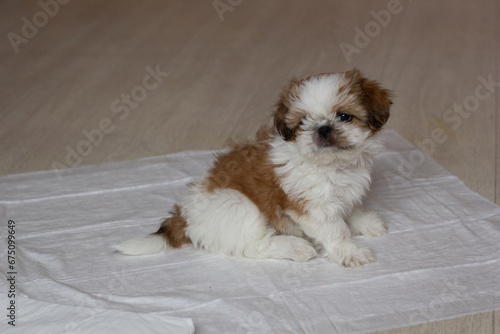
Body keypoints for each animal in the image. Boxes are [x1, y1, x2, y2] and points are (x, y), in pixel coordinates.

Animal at [115, 69, 392, 268]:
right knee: (254, 245)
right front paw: (349, 251)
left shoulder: (348, 190)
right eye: (303, 122)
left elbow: (351, 208)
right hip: (239, 206)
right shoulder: (312, 206)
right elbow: (335, 230)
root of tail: (183, 216)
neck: (334, 165)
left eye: (345, 116)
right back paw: (295, 247)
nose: (322, 128)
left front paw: (365, 222)